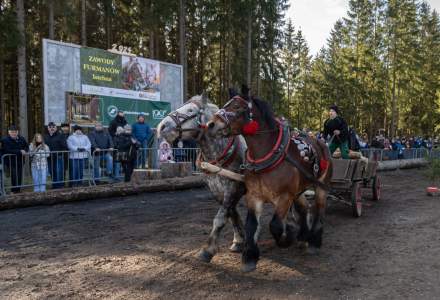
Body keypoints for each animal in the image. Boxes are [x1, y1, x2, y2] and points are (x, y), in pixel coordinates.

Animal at [157, 95, 248, 262]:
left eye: (190, 110)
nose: (161, 126)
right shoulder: (216, 189)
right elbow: (231, 213)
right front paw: (239, 240)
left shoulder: (232, 187)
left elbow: (220, 218)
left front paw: (207, 250)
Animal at [208, 86, 332, 272]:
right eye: (225, 105)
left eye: (237, 107)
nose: (210, 124)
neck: (267, 155)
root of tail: (321, 143)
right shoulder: (254, 196)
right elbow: (251, 225)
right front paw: (249, 257)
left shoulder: (285, 197)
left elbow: (275, 225)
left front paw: (287, 237)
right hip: (299, 190)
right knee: (305, 209)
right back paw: (303, 236)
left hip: (321, 186)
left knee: (319, 210)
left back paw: (314, 242)